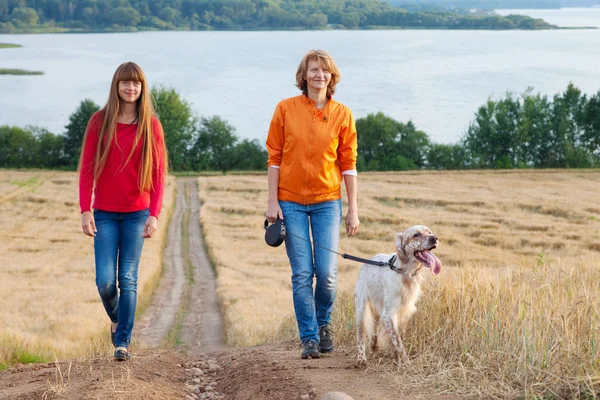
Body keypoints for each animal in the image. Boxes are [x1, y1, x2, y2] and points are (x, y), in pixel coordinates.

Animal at [352, 223, 440, 368]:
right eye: (416, 235)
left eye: (429, 232)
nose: (434, 238)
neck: (405, 273)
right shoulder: (388, 314)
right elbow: (398, 341)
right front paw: (406, 363)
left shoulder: (402, 312)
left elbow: (396, 338)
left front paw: (397, 360)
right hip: (361, 309)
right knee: (360, 335)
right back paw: (361, 359)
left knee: (374, 333)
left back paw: (374, 345)